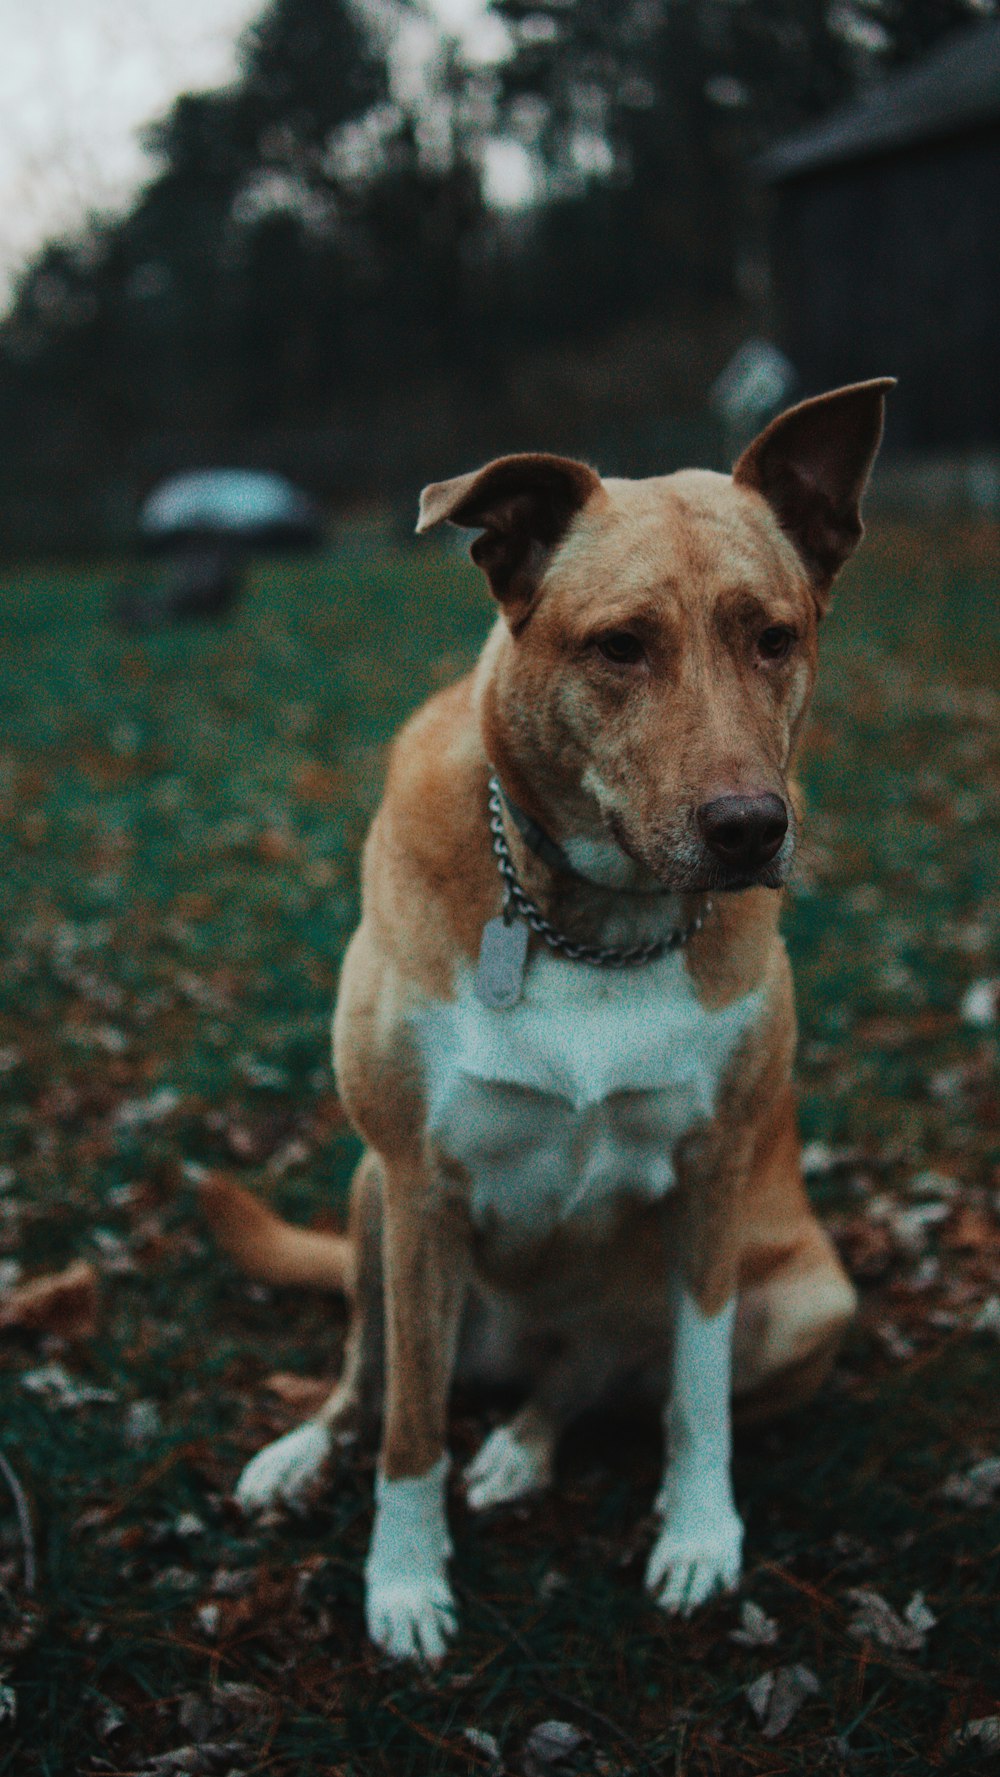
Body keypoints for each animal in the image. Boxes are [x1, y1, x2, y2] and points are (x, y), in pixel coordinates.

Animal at [207, 374, 895, 1663]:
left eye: (773, 636)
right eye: (620, 645)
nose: (750, 829)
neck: (594, 922)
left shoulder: (713, 1177)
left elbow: (693, 1398)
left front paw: (699, 1534)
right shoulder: (418, 1183)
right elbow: (409, 1426)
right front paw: (405, 1582)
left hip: (804, 1296)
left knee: (585, 1383)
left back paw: (525, 1448)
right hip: (370, 1206)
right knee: (370, 1372)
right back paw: (310, 1452)